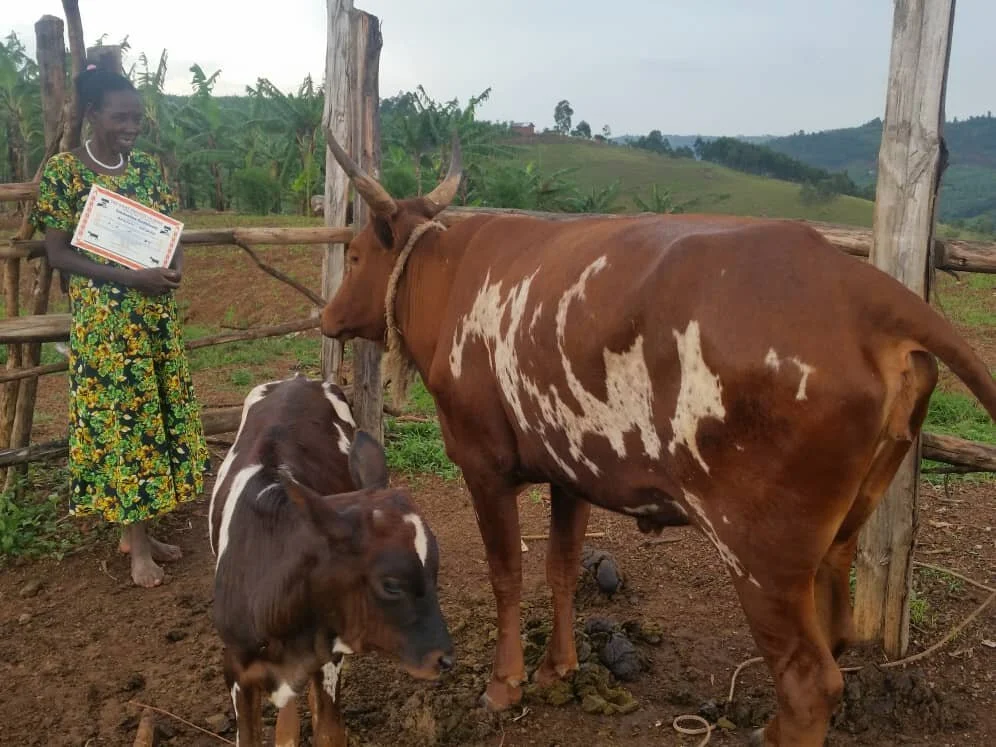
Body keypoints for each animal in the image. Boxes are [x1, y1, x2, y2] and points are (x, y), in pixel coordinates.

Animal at [208, 374, 453, 746]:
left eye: (434, 571)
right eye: (391, 585)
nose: (445, 658)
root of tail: (297, 378)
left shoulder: (328, 655)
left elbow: (328, 732)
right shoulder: (236, 667)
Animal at [316, 132, 996, 747]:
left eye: (355, 256)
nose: (326, 317)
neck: (452, 276)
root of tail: (860, 289)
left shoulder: (483, 463)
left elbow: (506, 573)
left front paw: (504, 684)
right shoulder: (571, 468)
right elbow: (561, 567)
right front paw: (558, 667)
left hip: (760, 557)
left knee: (809, 683)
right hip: (838, 536)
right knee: (834, 639)